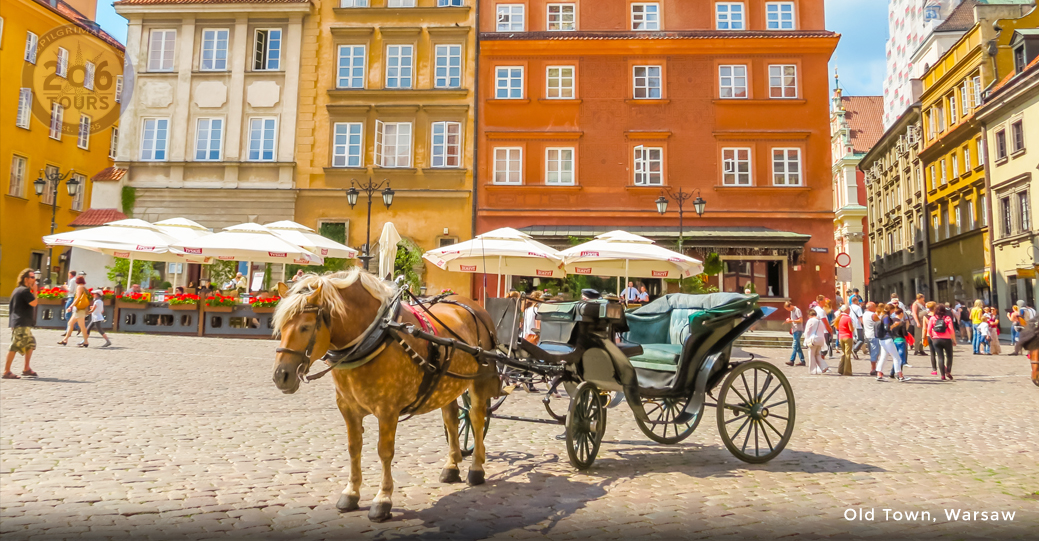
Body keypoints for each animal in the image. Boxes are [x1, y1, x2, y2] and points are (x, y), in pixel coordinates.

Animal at [272, 267, 498, 519]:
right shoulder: (347, 408)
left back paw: (476, 468)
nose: (281, 375)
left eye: (306, 327)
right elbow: (354, 448)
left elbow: (385, 452)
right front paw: (351, 493)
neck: (375, 336)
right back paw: (452, 465)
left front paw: (383, 499)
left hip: (480, 379)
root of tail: (472, 304)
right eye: (280, 327)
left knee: (476, 418)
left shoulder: (387, 410)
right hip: (446, 382)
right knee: (451, 420)